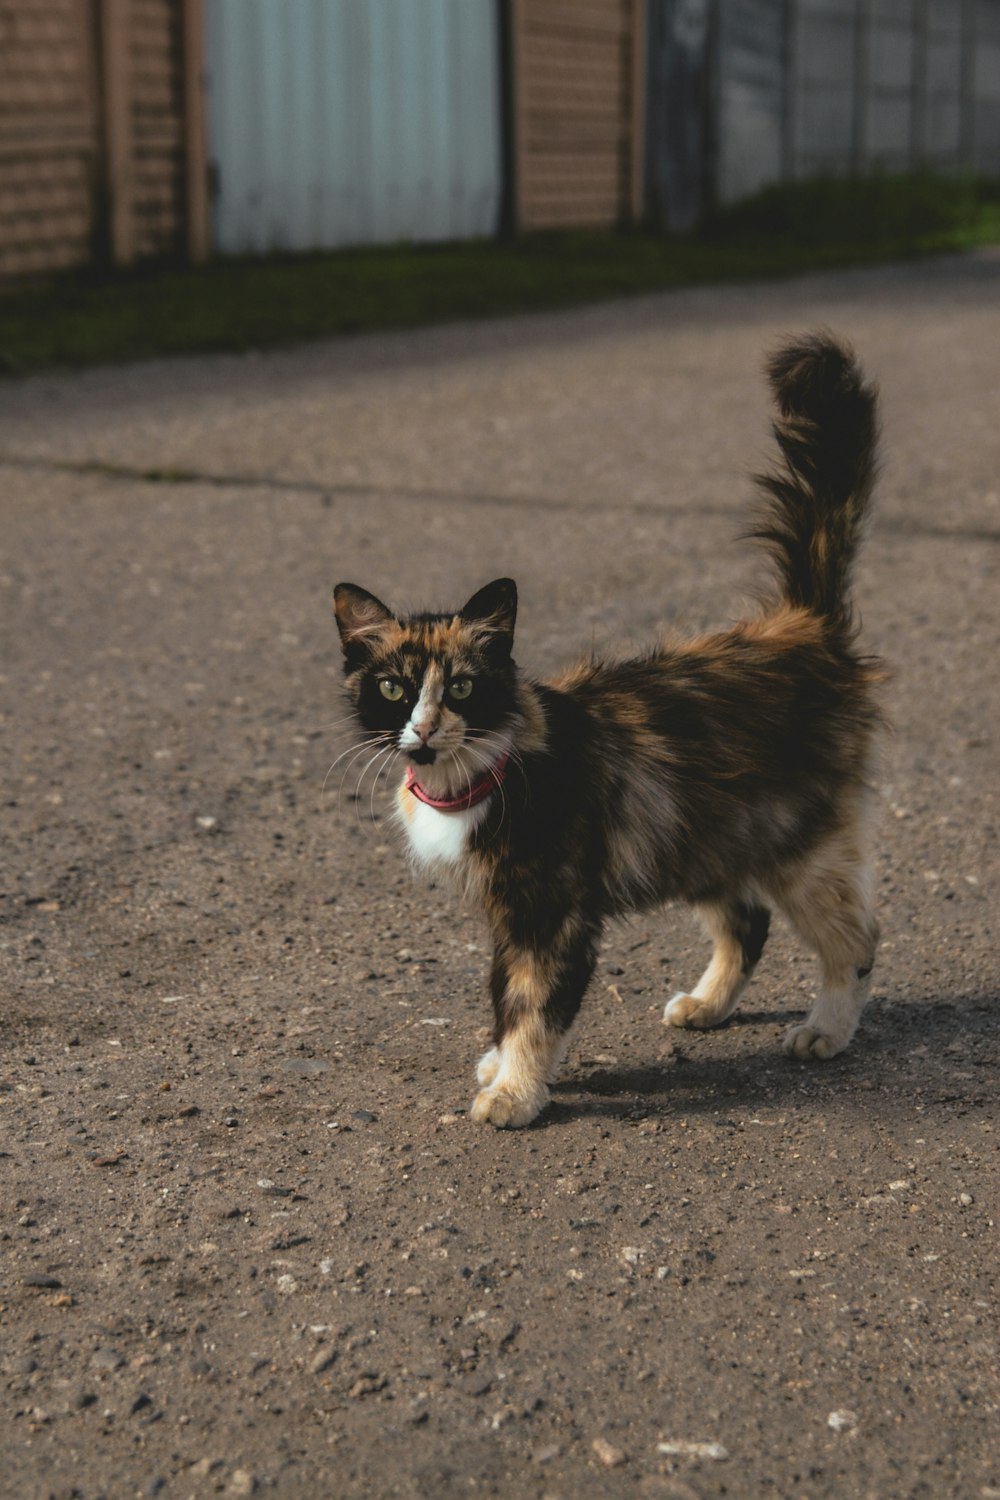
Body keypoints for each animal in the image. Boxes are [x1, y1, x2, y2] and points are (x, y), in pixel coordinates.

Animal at [334, 328, 881, 1128]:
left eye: (462, 686)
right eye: (393, 689)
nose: (426, 729)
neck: (480, 775)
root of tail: (799, 626)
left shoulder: (552, 912)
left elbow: (535, 1006)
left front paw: (515, 1092)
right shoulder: (507, 914)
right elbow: (503, 994)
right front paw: (499, 1064)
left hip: (797, 843)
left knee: (855, 936)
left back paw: (827, 1031)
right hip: (704, 830)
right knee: (747, 922)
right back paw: (709, 1006)